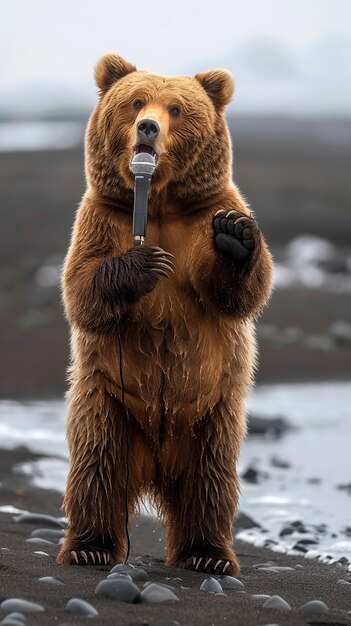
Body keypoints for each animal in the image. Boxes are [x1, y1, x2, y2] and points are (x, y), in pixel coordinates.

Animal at [56, 51, 276, 572]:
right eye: (136, 102)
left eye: (176, 108)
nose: (148, 127)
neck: (156, 204)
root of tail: (155, 466)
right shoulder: (101, 216)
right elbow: (82, 286)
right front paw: (143, 264)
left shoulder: (203, 213)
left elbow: (243, 291)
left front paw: (236, 235)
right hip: (107, 399)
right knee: (97, 465)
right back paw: (90, 546)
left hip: (212, 413)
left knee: (210, 478)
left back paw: (208, 554)